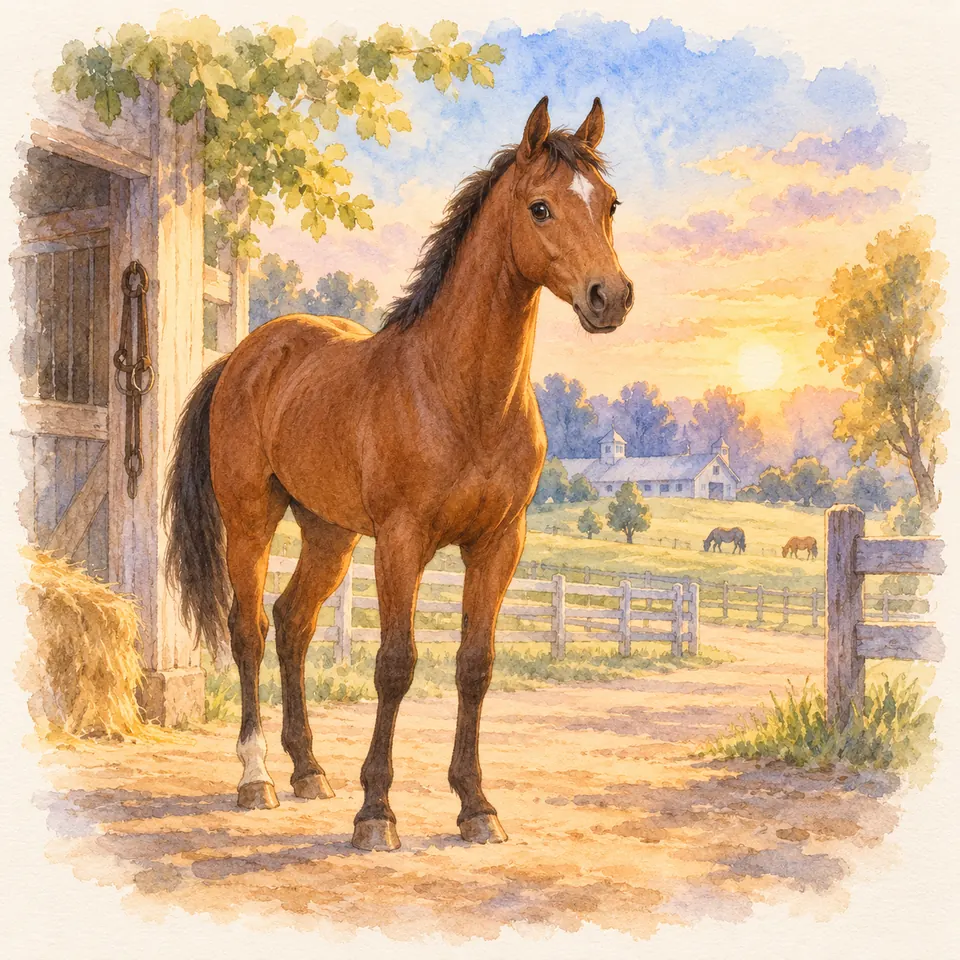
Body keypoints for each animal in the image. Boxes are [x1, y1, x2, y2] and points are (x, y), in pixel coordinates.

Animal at [163, 97, 633, 852]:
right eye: (540, 208)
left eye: (610, 202)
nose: (609, 297)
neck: (458, 393)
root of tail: (244, 355)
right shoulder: (402, 542)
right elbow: (395, 664)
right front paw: (376, 812)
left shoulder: (498, 544)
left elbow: (475, 665)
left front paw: (476, 806)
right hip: (251, 521)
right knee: (250, 631)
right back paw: (256, 778)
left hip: (329, 535)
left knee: (293, 623)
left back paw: (308, 769)